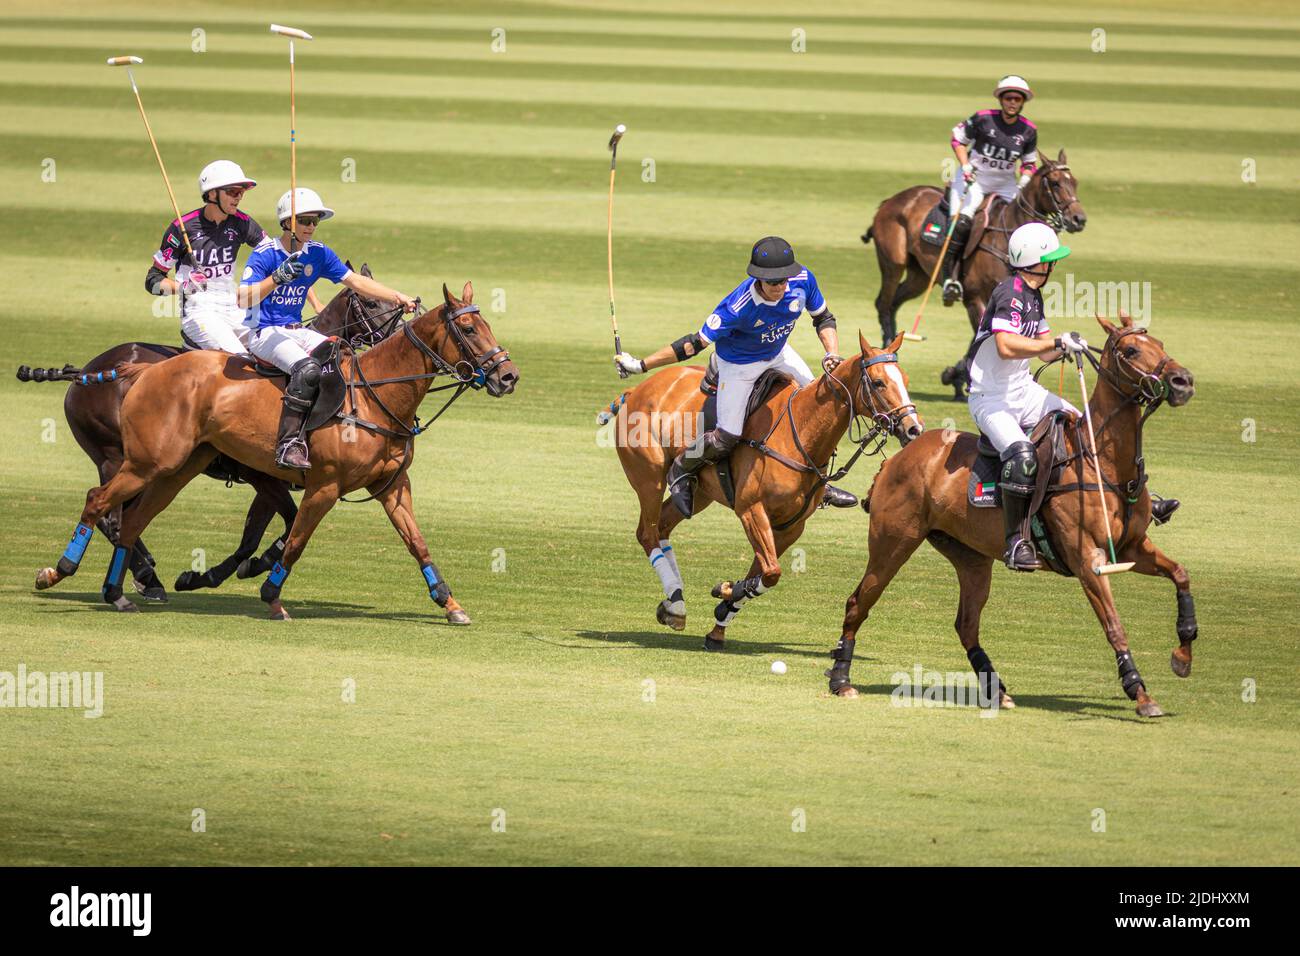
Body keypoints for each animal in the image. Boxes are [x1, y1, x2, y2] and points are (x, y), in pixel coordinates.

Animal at [17, 265, 395, 600]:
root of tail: (84, 371)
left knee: (121, 515)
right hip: (115, 456)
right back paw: (145, 576)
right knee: (112, 516)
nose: (397, 338)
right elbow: (285, 526)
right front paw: (234, 570)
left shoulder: (271, 480)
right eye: (370, 303)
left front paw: (221, 572)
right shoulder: (261, 476)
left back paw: (143, 573)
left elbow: (257, 537)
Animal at [38, 282, 514, 629]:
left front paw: (449, 603)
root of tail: (140, 369)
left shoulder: (392, 486)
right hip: (139, 462)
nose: (508, 375)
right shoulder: (319, 485)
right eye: (469, 330)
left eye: (487, 324)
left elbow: (417, 543)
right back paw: (59, 572)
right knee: (102, 504)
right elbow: (295, 540)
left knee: (132, 520)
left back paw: (120, 592)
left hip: (175, 469)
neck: (374, 395)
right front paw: (271, 596)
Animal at [608, 332, 925, 655]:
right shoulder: (752, 509)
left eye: (906, 379)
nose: (914, 429)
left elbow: (761, 571)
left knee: (663, 527)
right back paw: (677, 605)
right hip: (648, 477)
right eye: (878, 382)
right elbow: (771, 572)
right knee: (648, 532)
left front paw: (721, 619)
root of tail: (637, 390)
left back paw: (674, 602)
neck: (801, 433)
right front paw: (725, 590)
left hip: (698, 495)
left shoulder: (790, 526)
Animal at [826, 314, 1190, 717]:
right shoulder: (1087, 560)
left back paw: (996, 689)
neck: (1103, 461)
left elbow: (1180, 574)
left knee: (966, 624)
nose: (1183, 381)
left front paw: (1183, 654)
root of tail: (895, 459)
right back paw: (841, 679)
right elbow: (1114, 624)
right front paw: (1140, 692)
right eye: (1131, 350)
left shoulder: (1132, 547)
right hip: (892, 543)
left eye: (1159, 343)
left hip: (970, 557)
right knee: (859, 602)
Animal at [863, 151, 1086, 398]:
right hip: (893, 263)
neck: (1006, 236)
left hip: (919, 276)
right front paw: (957, 377)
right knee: (884, 302)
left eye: (1075, 182)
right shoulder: (975, 297)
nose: (1079, 219)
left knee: (893, 302)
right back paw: (886, 352)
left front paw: (955, 377)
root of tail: (890, 200)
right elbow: (979, 338)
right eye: (1055, 183)